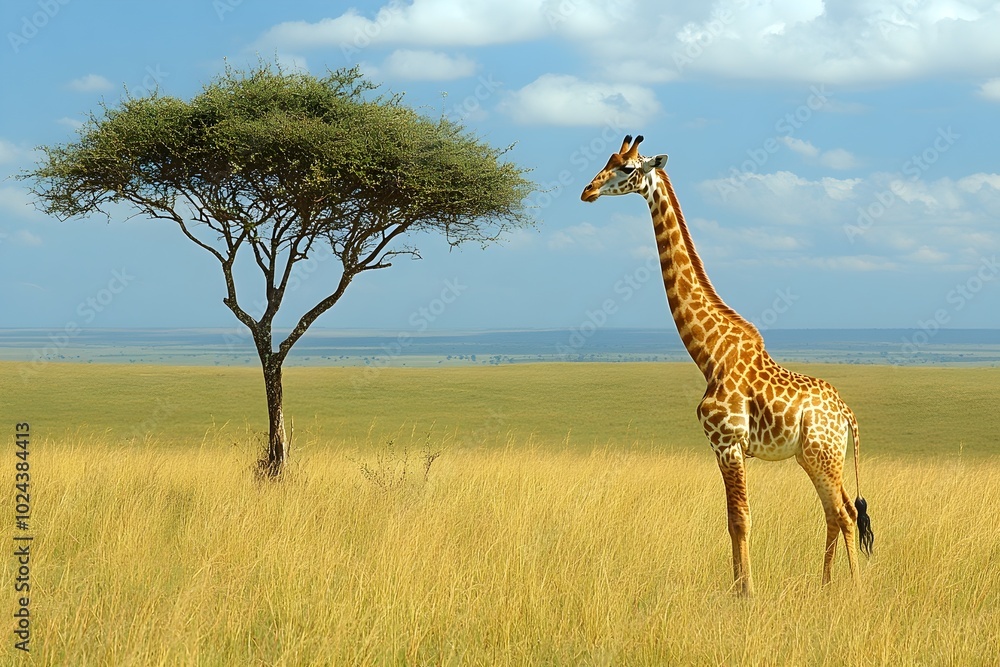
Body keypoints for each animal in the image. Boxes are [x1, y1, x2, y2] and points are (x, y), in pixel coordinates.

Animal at [581, 135, 873, 595]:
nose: (587, 191)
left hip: (823, 455)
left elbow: (740, 520)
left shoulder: (728, 442)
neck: (709, 354)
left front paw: (746, 593)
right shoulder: (723, 447)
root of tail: (847, 414)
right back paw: (826, 585)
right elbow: (731, 520)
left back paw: (854, 590)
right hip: (815, 457)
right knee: (837, 511)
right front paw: (738, 588)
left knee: (844, 514)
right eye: (607, 160)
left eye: (627, 168)